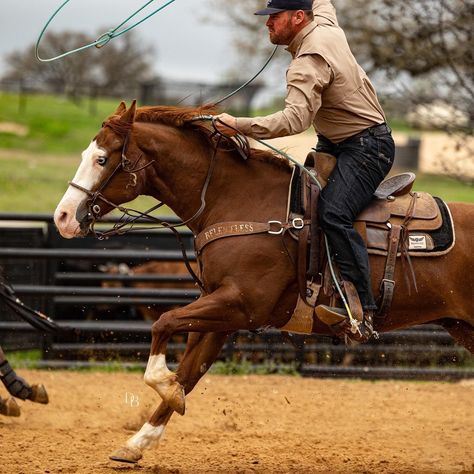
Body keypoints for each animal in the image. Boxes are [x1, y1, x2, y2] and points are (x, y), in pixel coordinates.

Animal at [53, 101, 474, 462]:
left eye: (102, 158)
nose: (62, 217)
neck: (237, 201)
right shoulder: (220, 313)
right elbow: (189, 371)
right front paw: (138, 441)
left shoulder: (242, 305)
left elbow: (164, 324)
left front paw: (163, 386)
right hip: (462, 327)